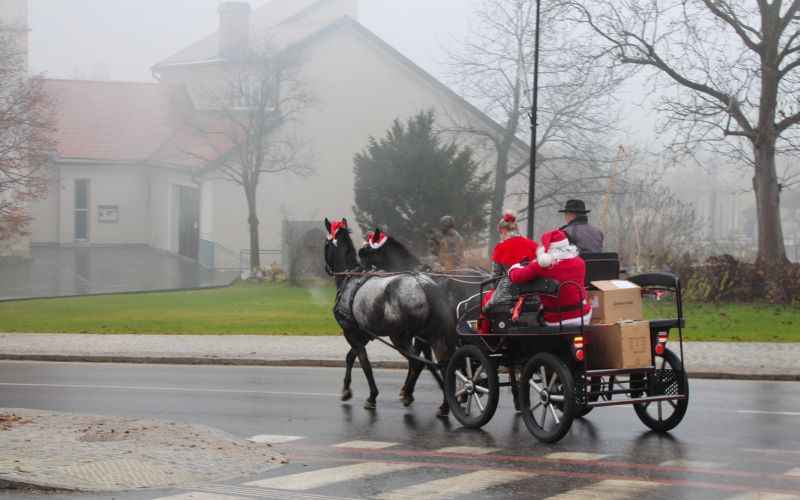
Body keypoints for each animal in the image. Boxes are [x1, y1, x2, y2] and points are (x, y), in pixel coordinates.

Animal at [322, 217, 454, 416]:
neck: (350, 276)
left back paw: (408, 394)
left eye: (325, 244)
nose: (326, 268)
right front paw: (346, 389)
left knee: (417, 363)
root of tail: (424, 285)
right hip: (434, 334)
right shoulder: (363, 334)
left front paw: (371, 396)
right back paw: (444, 404)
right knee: (444, 364)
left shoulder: (351, 332)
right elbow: (350, 357)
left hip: (400, 337)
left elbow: (365, 364)